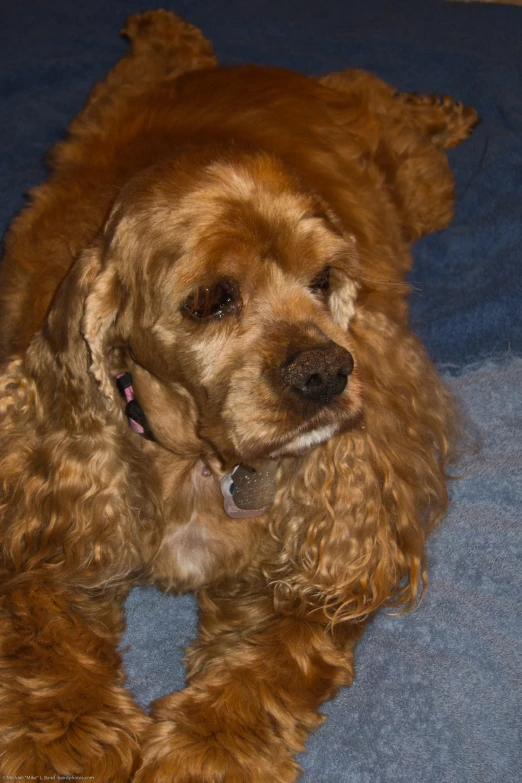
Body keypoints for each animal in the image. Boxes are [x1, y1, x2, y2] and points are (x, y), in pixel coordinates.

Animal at [0, 9, 478, 780]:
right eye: (211, 300)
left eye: (324, 280)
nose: (327, 371)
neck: (192, 460)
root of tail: (253, 69)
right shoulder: (43, 505)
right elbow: (39, 620)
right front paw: (63, 737)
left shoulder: (319, 552)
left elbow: (277, 653)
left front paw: (208, 746)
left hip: (422, 189)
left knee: (377, 96)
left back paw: (442, 111)